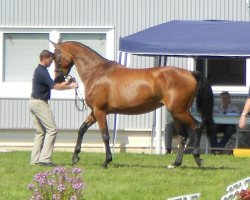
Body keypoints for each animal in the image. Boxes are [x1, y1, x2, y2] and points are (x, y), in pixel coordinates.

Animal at [51, 40, 215, 169]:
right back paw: (175, 164)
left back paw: (198, 159)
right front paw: (75, 157)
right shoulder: (95, 112)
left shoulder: (100, 111)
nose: (58, 79)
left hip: (180, 111)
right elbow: (81, 130)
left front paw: (106, 161)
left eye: (56, 56)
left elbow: (105, 136)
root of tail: (191, 73)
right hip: (176, 113)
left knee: (198, 127)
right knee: (182, 136)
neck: (97, 72)